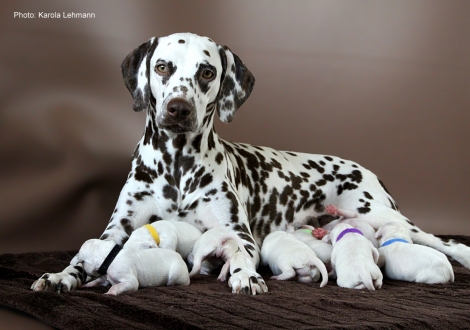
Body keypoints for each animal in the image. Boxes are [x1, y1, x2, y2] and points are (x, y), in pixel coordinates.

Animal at [31, 32, 468, 296]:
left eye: (207, 72)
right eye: (162, 67)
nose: (179, 109)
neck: (177, 168)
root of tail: (366, 169)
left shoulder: (237, 233)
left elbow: (241, 252)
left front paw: (246, 275)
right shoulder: (116, 231)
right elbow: (84, 256)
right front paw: (62, 275)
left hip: (383, 216)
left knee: (447, 243)